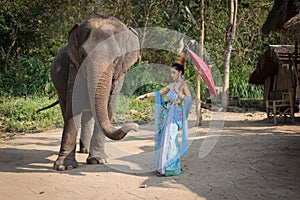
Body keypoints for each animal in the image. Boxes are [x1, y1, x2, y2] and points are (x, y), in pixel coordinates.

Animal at [50, 14, 141, 170]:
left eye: (117, 58)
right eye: (83, 54)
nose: (136, 127)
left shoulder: (120, 76)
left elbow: (109, 104)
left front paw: (98, 160)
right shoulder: (74, 66)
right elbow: (74, 104)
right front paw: (64, 167)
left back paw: (86, 150)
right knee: (67, 107)